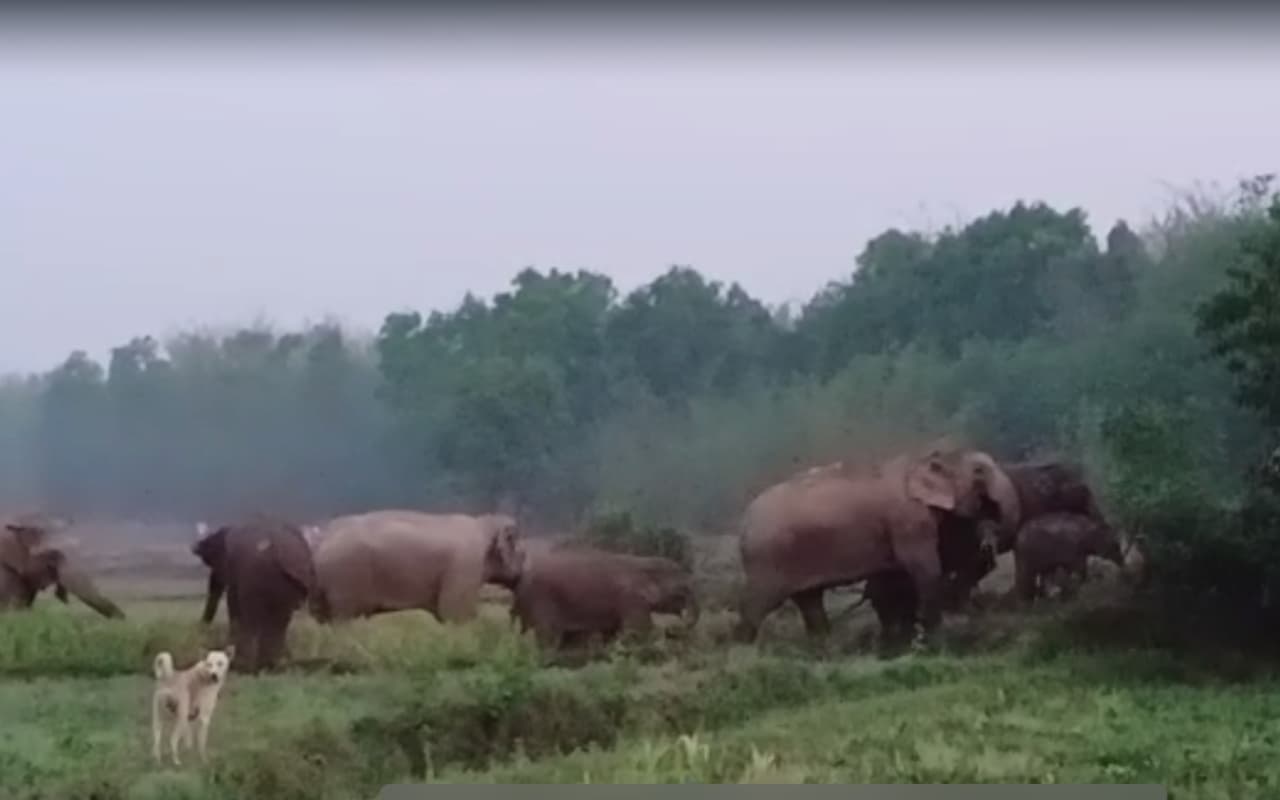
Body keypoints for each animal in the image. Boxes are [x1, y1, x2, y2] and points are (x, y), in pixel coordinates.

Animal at [192, 516, 316, 674]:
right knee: (279, 621)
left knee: (254, 616)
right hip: (282, 582)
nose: (201, 630)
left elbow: (234, 604)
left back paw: (249, 666)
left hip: (256, 576)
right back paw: (272, 666)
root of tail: (280, 551)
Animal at [308, 510, 526, 624]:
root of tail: (321, 538)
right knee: (342, 618)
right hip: (345, 575)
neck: (484, 523)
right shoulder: (466, 565)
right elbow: (455, 613)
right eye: (520, 551)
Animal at [509, 546, 699, 649]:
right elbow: (638, 630)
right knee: (549, 638)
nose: (672, 630)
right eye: (682, 592)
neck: (643, 562)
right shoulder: (631, 599)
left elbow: (611, 633)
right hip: (542, 601)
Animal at [734, 443, 1020, 644]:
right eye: (979, 472)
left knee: (810, 602)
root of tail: (744, 522)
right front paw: (933, 636)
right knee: (756, 606)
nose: (988, 542)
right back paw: (742, 653)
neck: (922, 458)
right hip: (766, 560)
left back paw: (823, 651)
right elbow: (924, 569)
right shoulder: (907, 521)